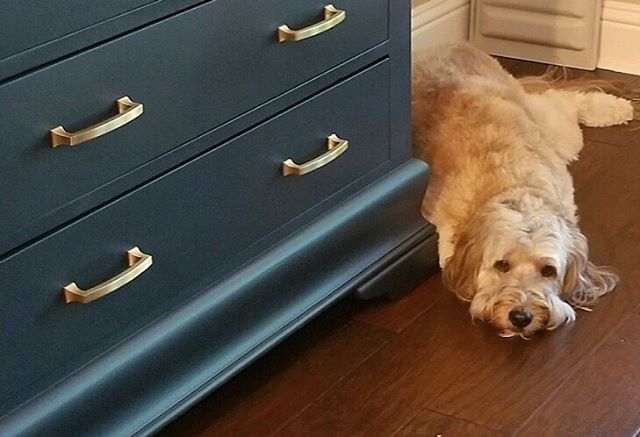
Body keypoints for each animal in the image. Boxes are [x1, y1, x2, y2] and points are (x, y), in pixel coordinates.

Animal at [410, 43, 636, 338]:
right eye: (502, 265)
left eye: (548, 270)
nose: (520, 317)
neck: (515, 185)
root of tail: (448, 44)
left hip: (553, 132)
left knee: (561, 99)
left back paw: (613, 107)